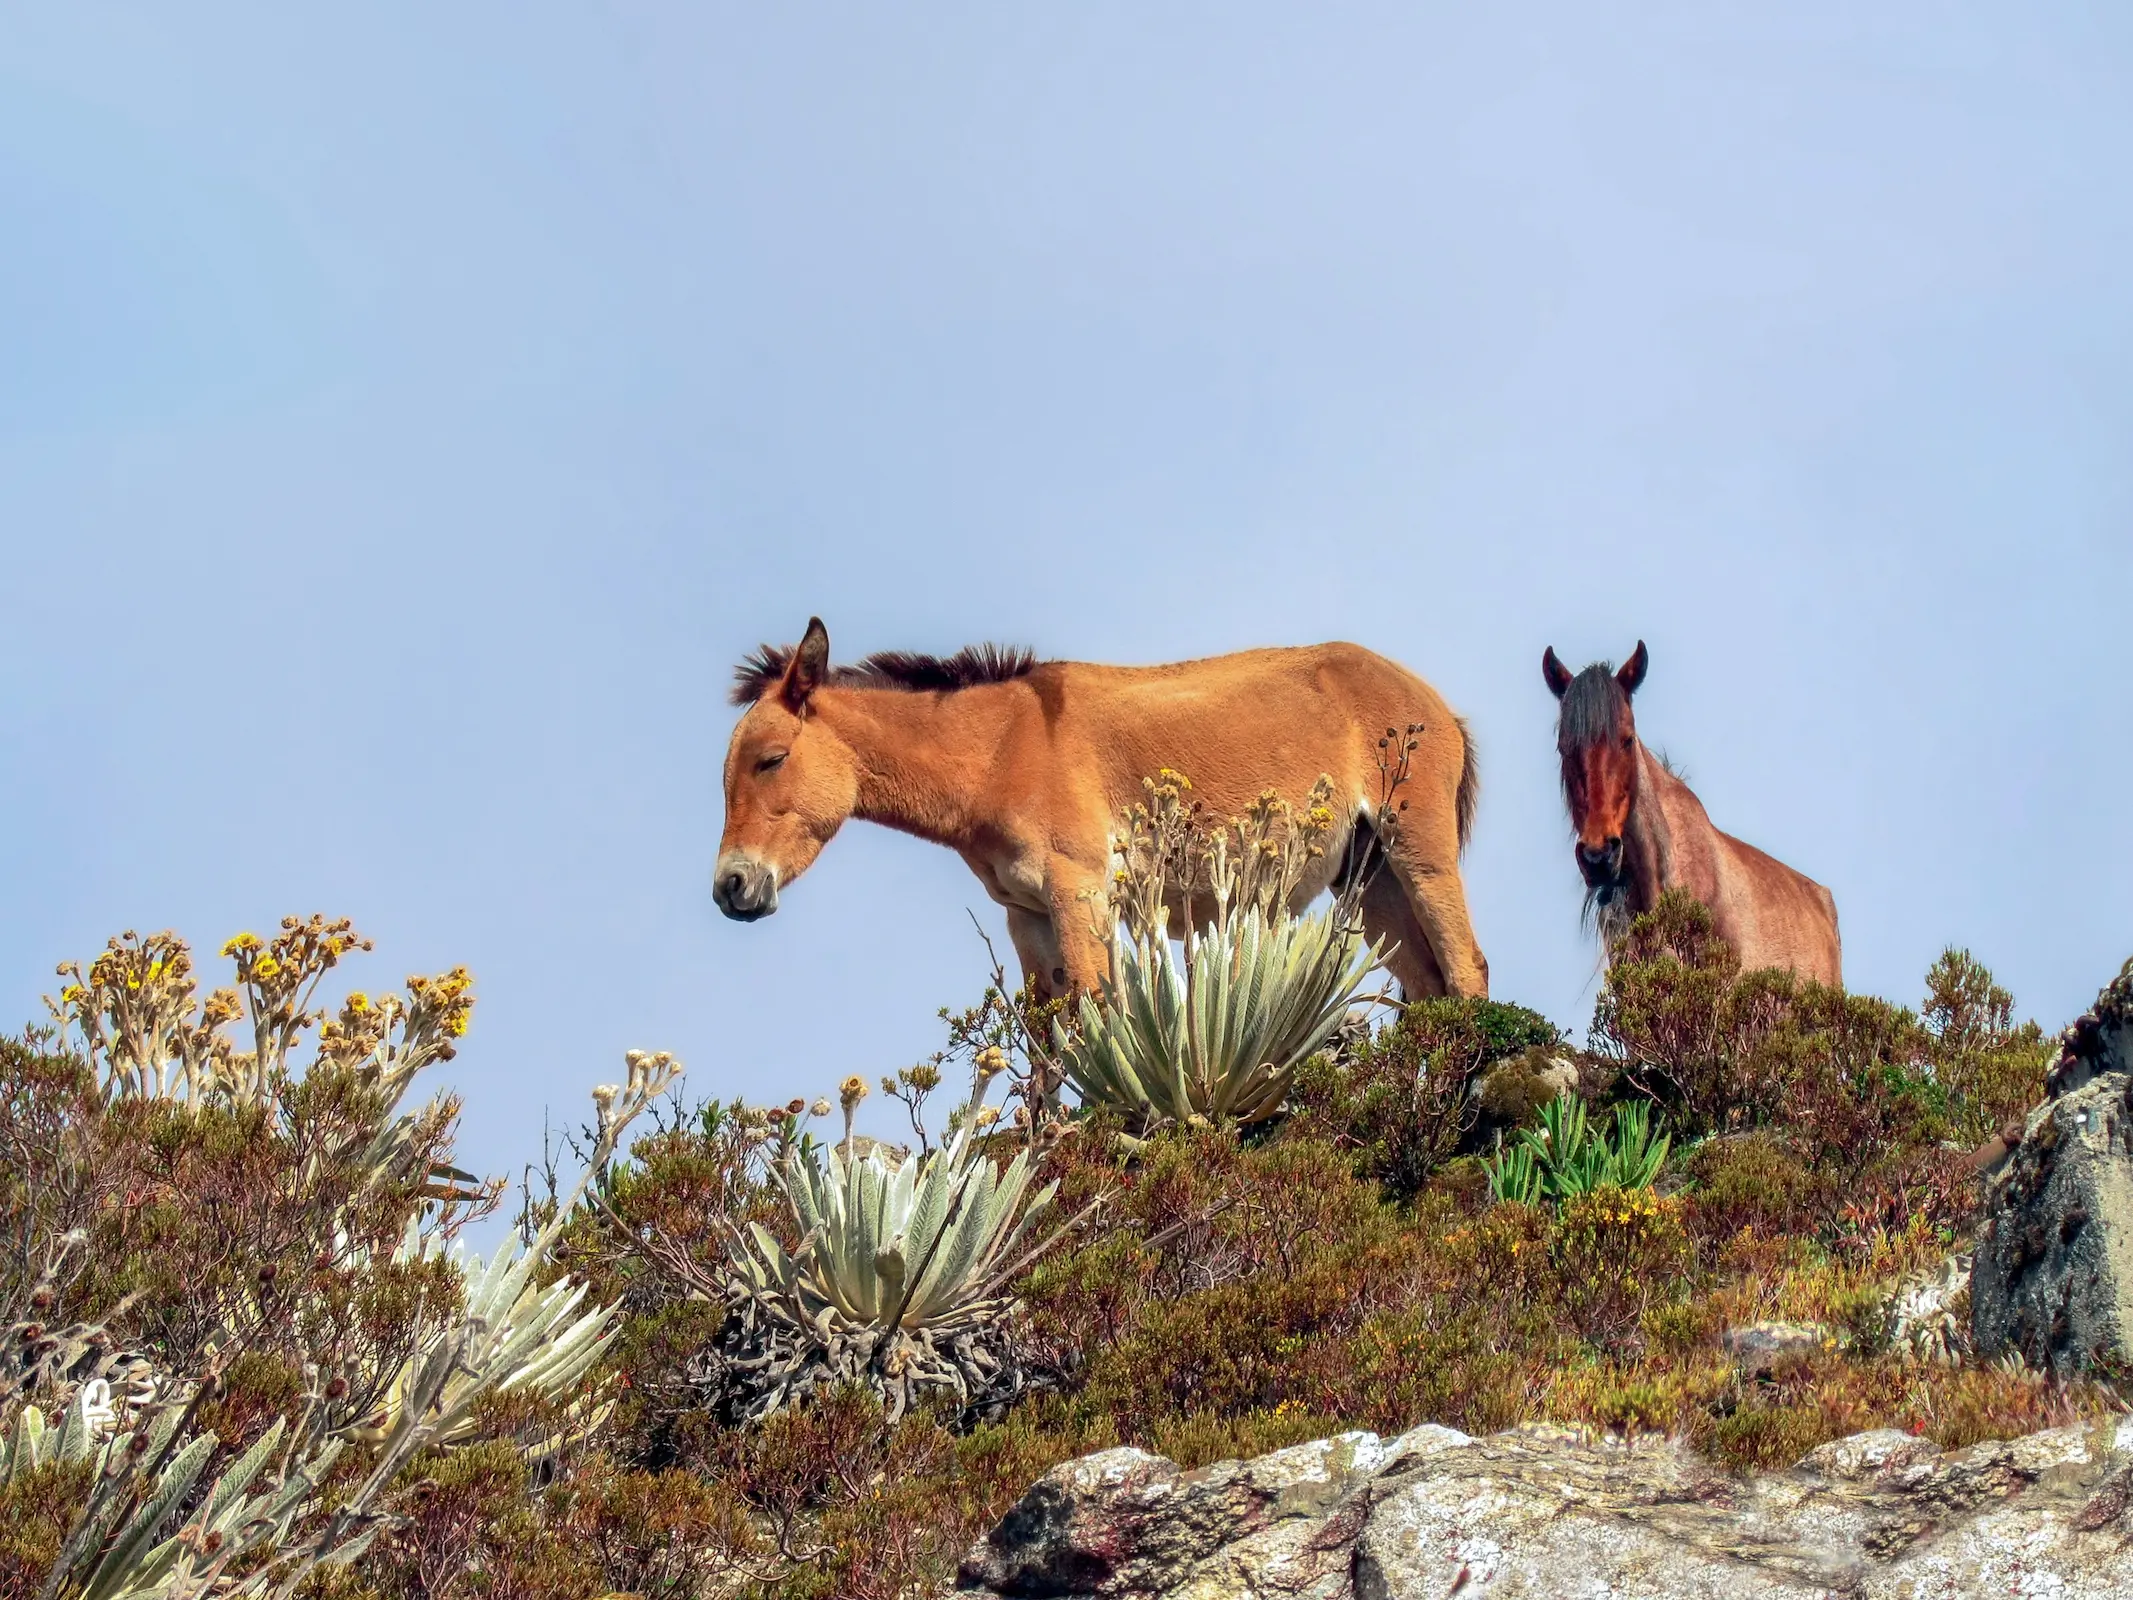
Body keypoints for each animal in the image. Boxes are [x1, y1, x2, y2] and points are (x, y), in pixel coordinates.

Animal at [716, 618, 1484, 1002]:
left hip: (1418, 854)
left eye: (770, 760)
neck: (1003, 748)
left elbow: (1095, 1012)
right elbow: (1048, 1045)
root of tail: (1436, 704)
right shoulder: (1026, 915)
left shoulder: (1079, 891)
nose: (730, 889)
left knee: (1466, 966)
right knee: (1430, 985)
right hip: (1368, 881)